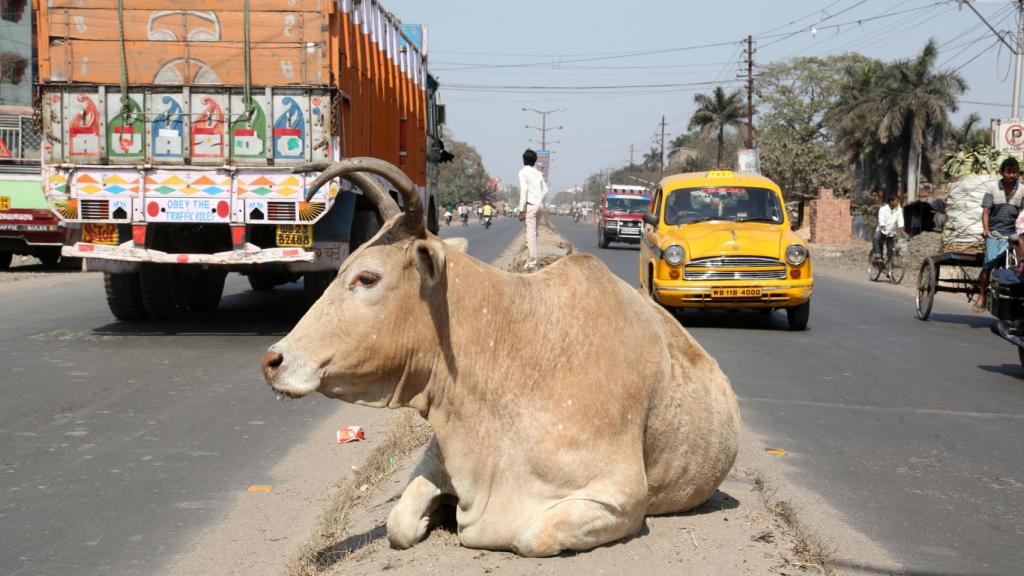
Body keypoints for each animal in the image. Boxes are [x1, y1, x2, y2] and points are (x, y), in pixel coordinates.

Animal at [260, 157, 741, 557]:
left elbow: (530, 537)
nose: (273, 361)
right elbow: (399, 522)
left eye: (367, 277)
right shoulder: (436, 457)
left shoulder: (619, 497)